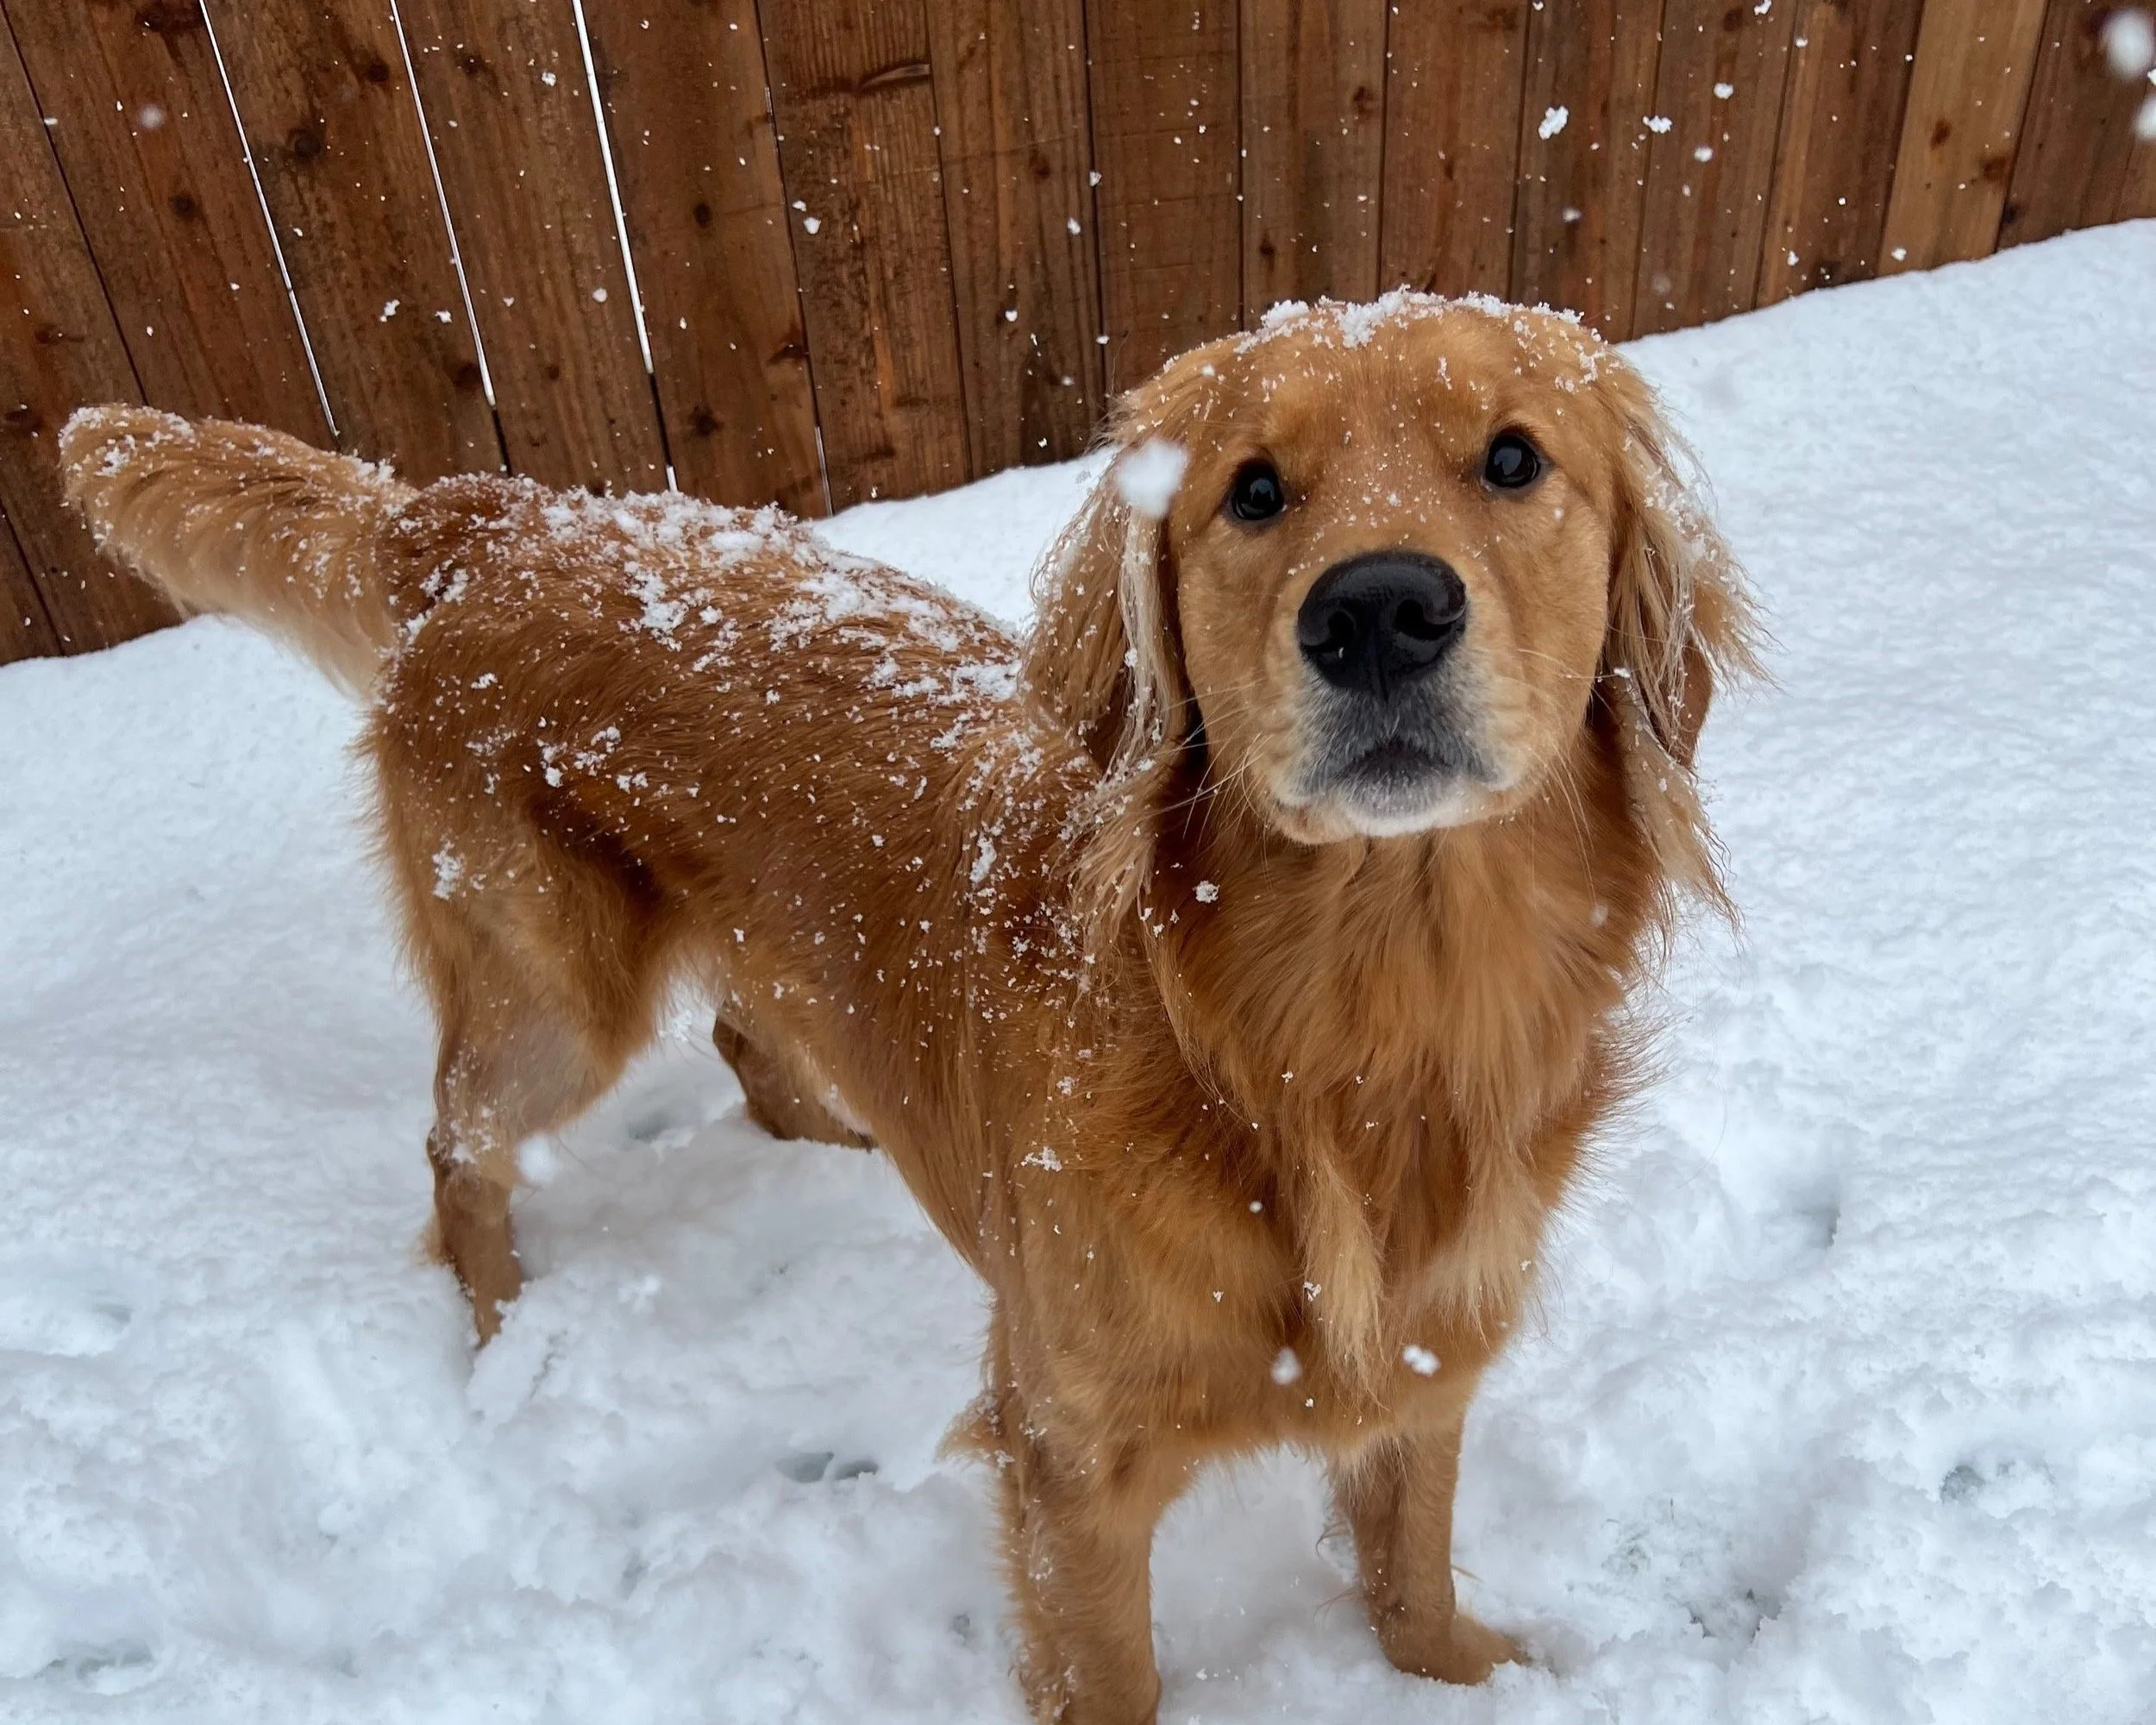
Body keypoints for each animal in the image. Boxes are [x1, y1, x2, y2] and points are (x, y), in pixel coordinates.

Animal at [60, 292, 1752, 1724]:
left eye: (1514, 458)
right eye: (1254, 492)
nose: (1380, 612)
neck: (1334, 1054)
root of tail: (491, 514)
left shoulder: (1421, 1358)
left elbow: (1411, 1575)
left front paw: (1475, 1675)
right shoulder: (1068, 1456)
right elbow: (1115, 1674)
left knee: (741, 1033)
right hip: (552, 997)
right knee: (456, 1140)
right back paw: (496, 1331)